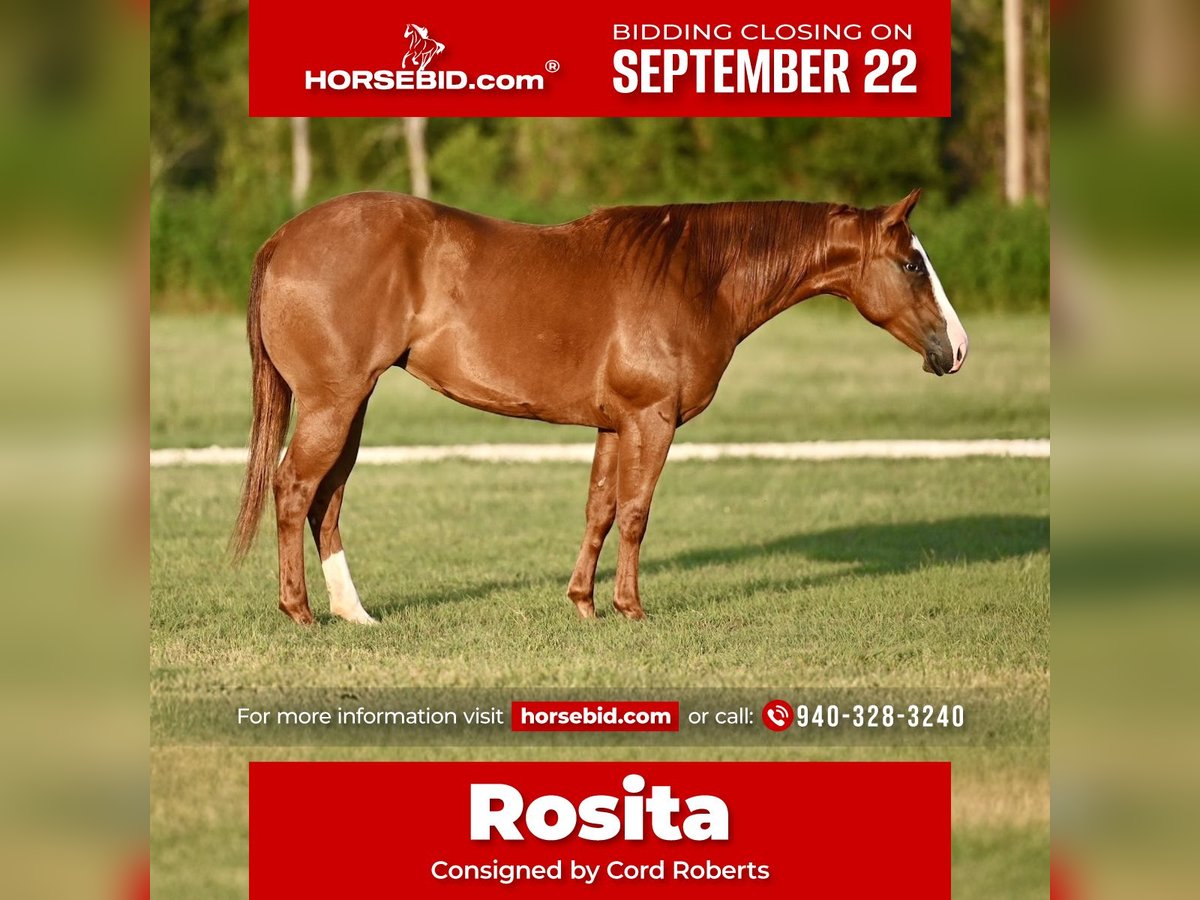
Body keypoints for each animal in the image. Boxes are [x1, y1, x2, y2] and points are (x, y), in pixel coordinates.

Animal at [230, 190, 968, 625]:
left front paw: (584, 605)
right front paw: (630, 608)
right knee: (294, 490)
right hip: (333, 404)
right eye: (912, 265)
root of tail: (284, 237)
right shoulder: (652, 420)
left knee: (326, 502)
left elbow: (600, 511)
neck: (697, 275)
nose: (956, 349)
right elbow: (637, 513)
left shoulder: (615, 425)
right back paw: (298, 611)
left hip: (351, 407)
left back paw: (354, 614)